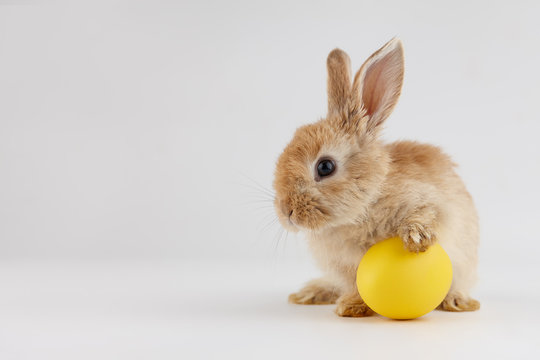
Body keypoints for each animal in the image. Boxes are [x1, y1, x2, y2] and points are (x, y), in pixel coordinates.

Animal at [274, 38, 480, 316]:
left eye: (325, 167)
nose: (287, 212)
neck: (365, 203)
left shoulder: (432, 202)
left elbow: (425, 215)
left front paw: (416, 239)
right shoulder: (345, 268)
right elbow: (356, 285)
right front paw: (351, 306)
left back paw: (458, 302)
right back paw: (312, 293)